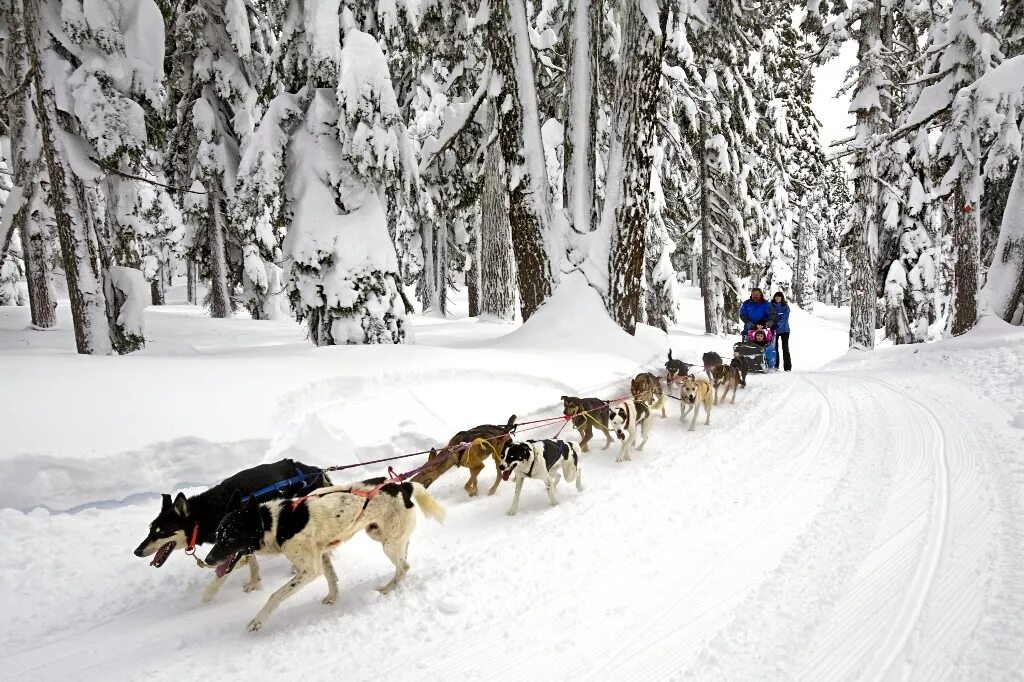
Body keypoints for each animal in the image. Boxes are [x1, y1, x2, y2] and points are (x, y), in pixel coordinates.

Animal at [134, 456, 327, 602]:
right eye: (150, 529)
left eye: (161, 532)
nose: (137, 551)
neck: (203, 516)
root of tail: (314, 469)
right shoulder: (241, 540)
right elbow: (250, 562)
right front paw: (254, 582)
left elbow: (223, 573)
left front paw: (207, 596)